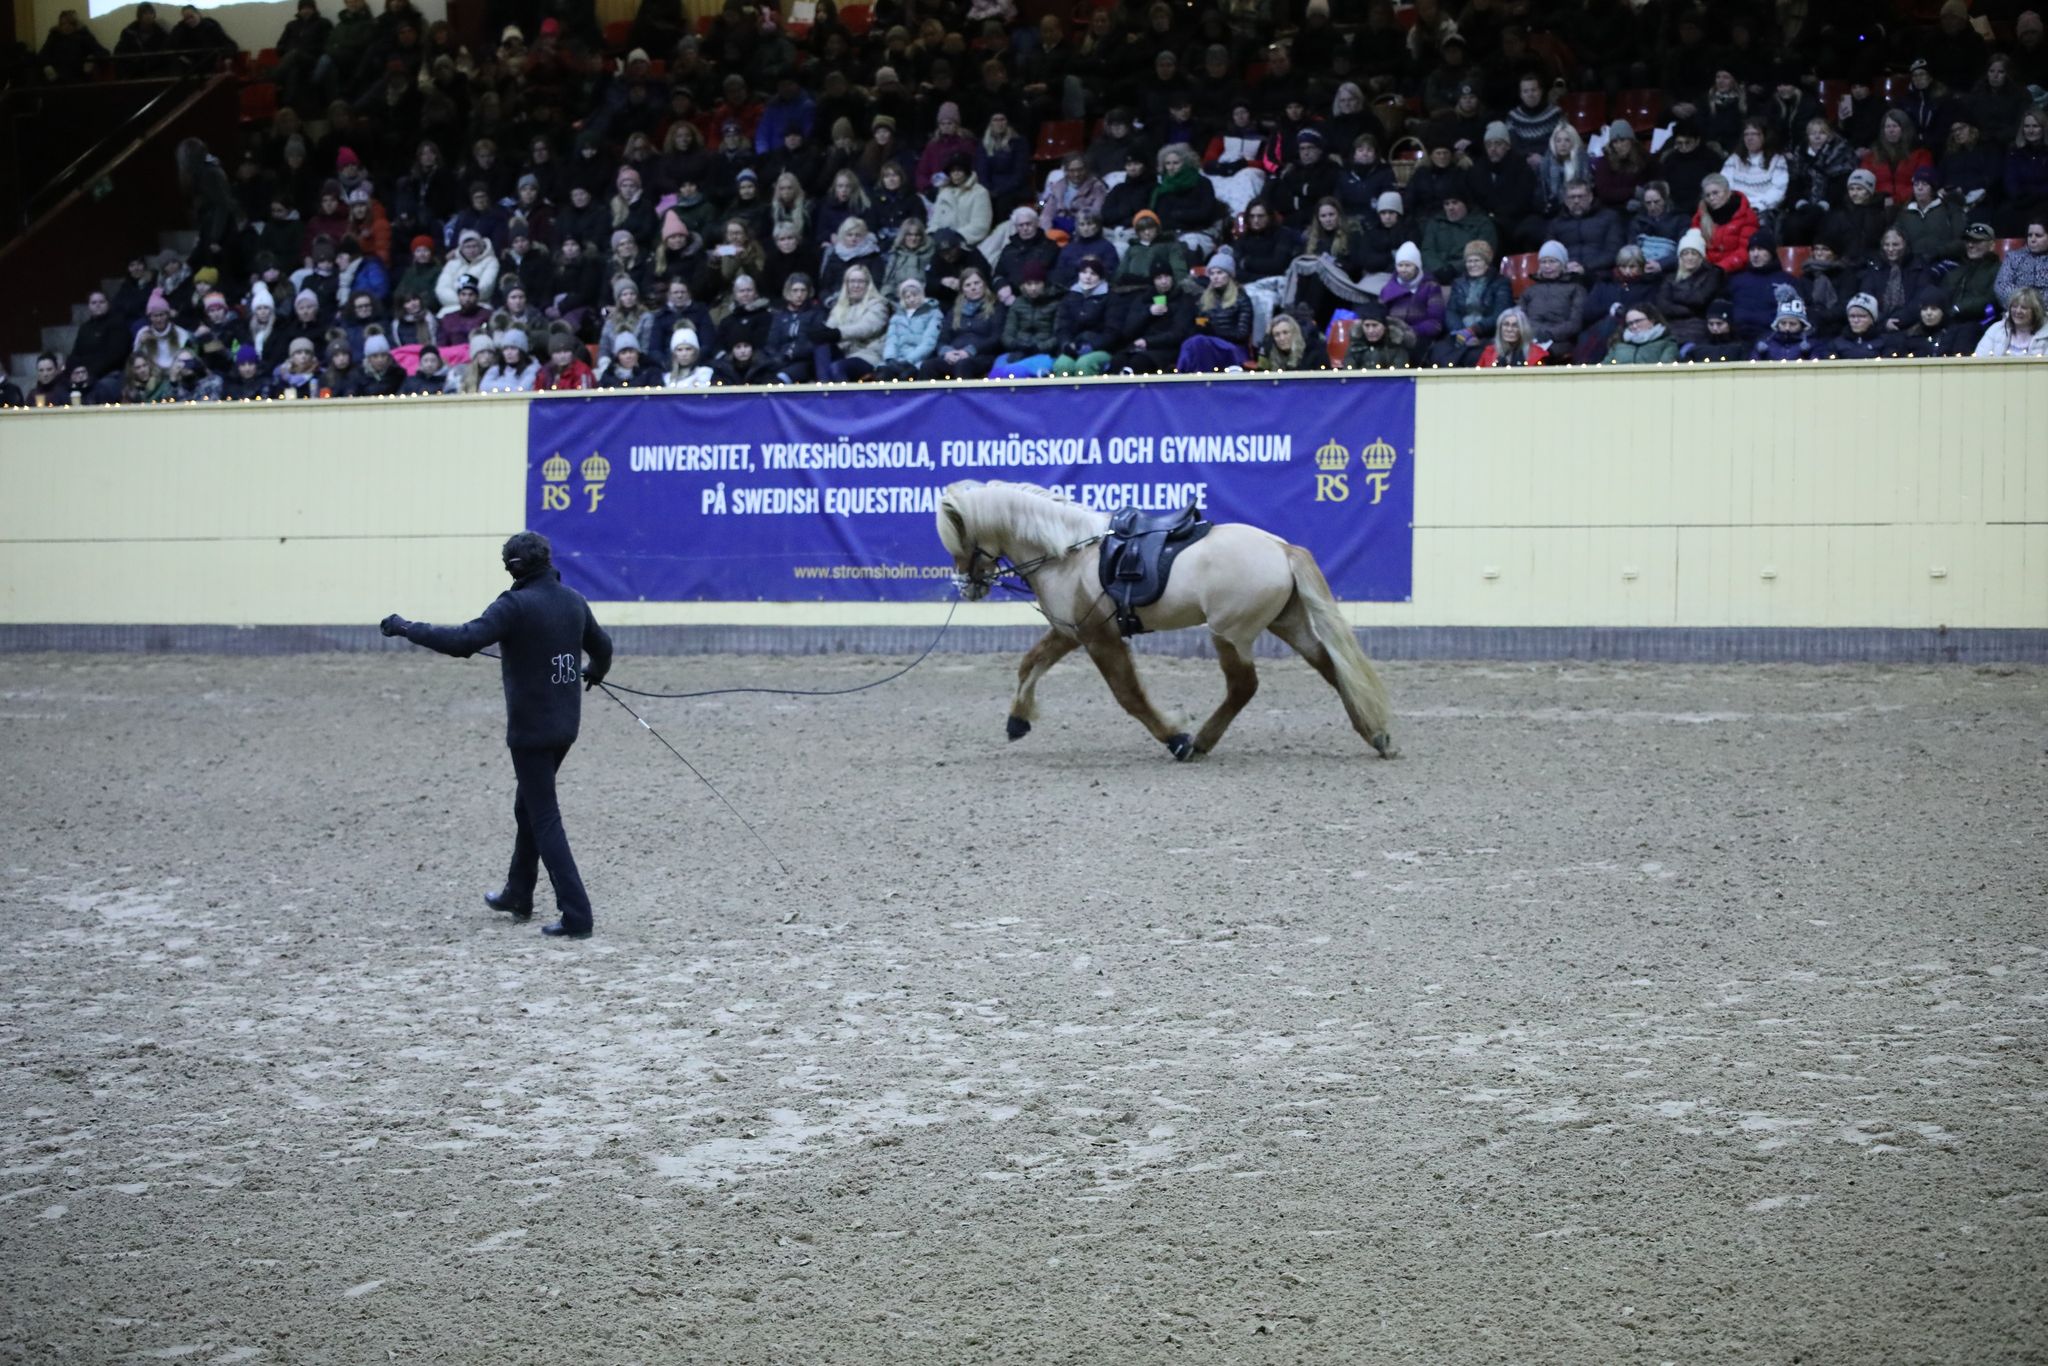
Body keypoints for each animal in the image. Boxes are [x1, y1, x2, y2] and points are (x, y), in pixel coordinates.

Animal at [937, 481, 1392, 757]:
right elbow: (1030, 663)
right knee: (1330, 666)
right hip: (1287, 623)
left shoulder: (1098, 636)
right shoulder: (1070, 632)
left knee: (1244, 686)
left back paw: (1200, 743)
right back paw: (1376, 734)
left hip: (1229, 633)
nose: (967, 587)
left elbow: (1128, 695)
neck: (1068, 553)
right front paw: (1017, 720)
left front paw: (1175, 737)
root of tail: (1282, 547)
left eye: (961, 541)